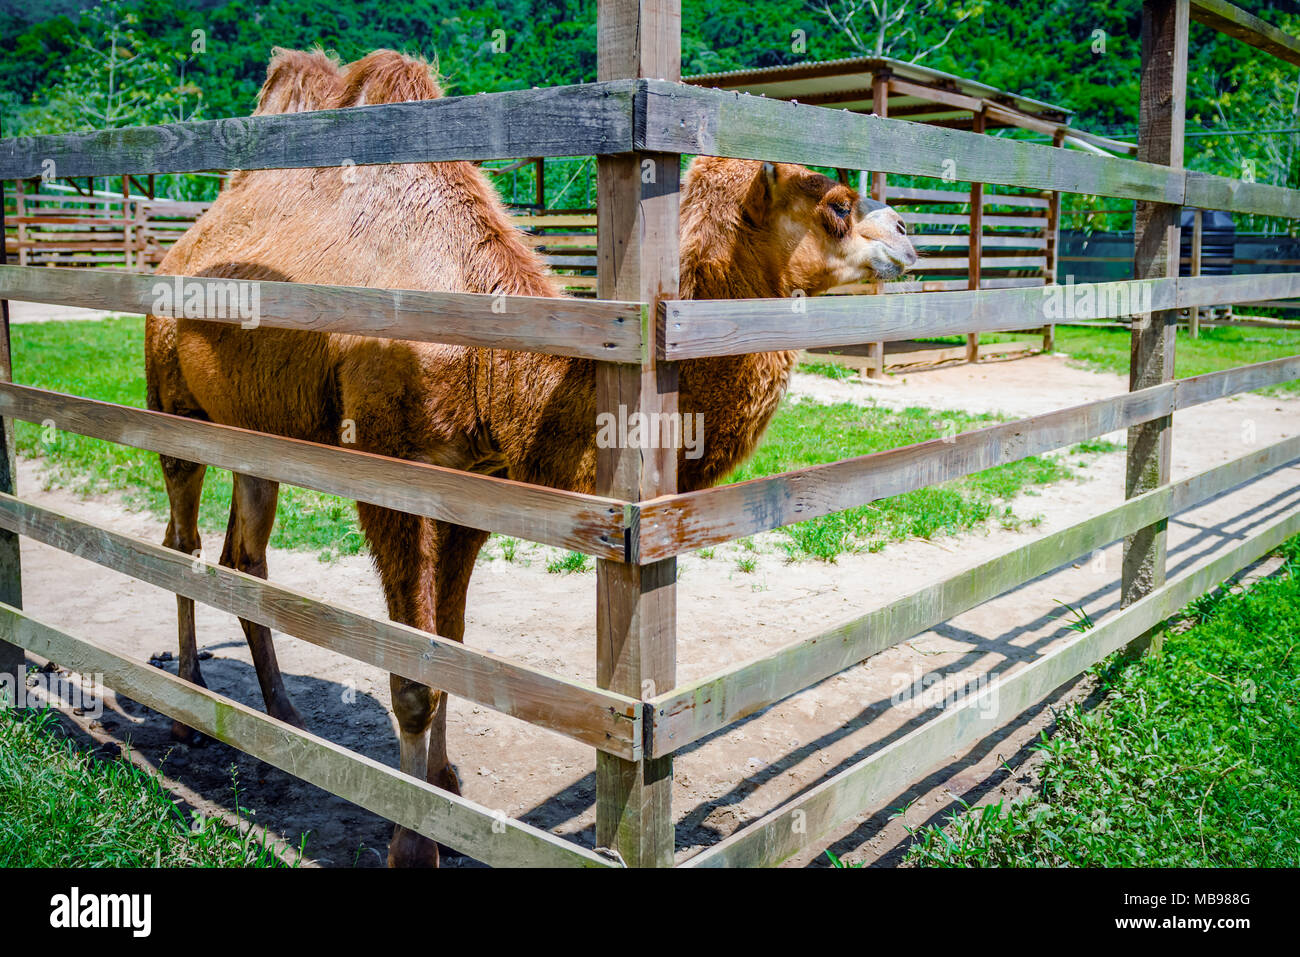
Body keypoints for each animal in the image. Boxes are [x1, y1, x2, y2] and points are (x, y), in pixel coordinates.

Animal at [147, 46, 920, 868]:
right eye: (835, 203)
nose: (910, 234)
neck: (495, 356)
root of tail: (180, 247)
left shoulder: (473, 484)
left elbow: (450, 650)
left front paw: (445, 786)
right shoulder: (390, 474)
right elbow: (414, 676)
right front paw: (410, 842)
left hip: (257, 434)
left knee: (243, 555)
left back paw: (281, 713)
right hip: (172, 402)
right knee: (179, 541)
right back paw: (187, 706)